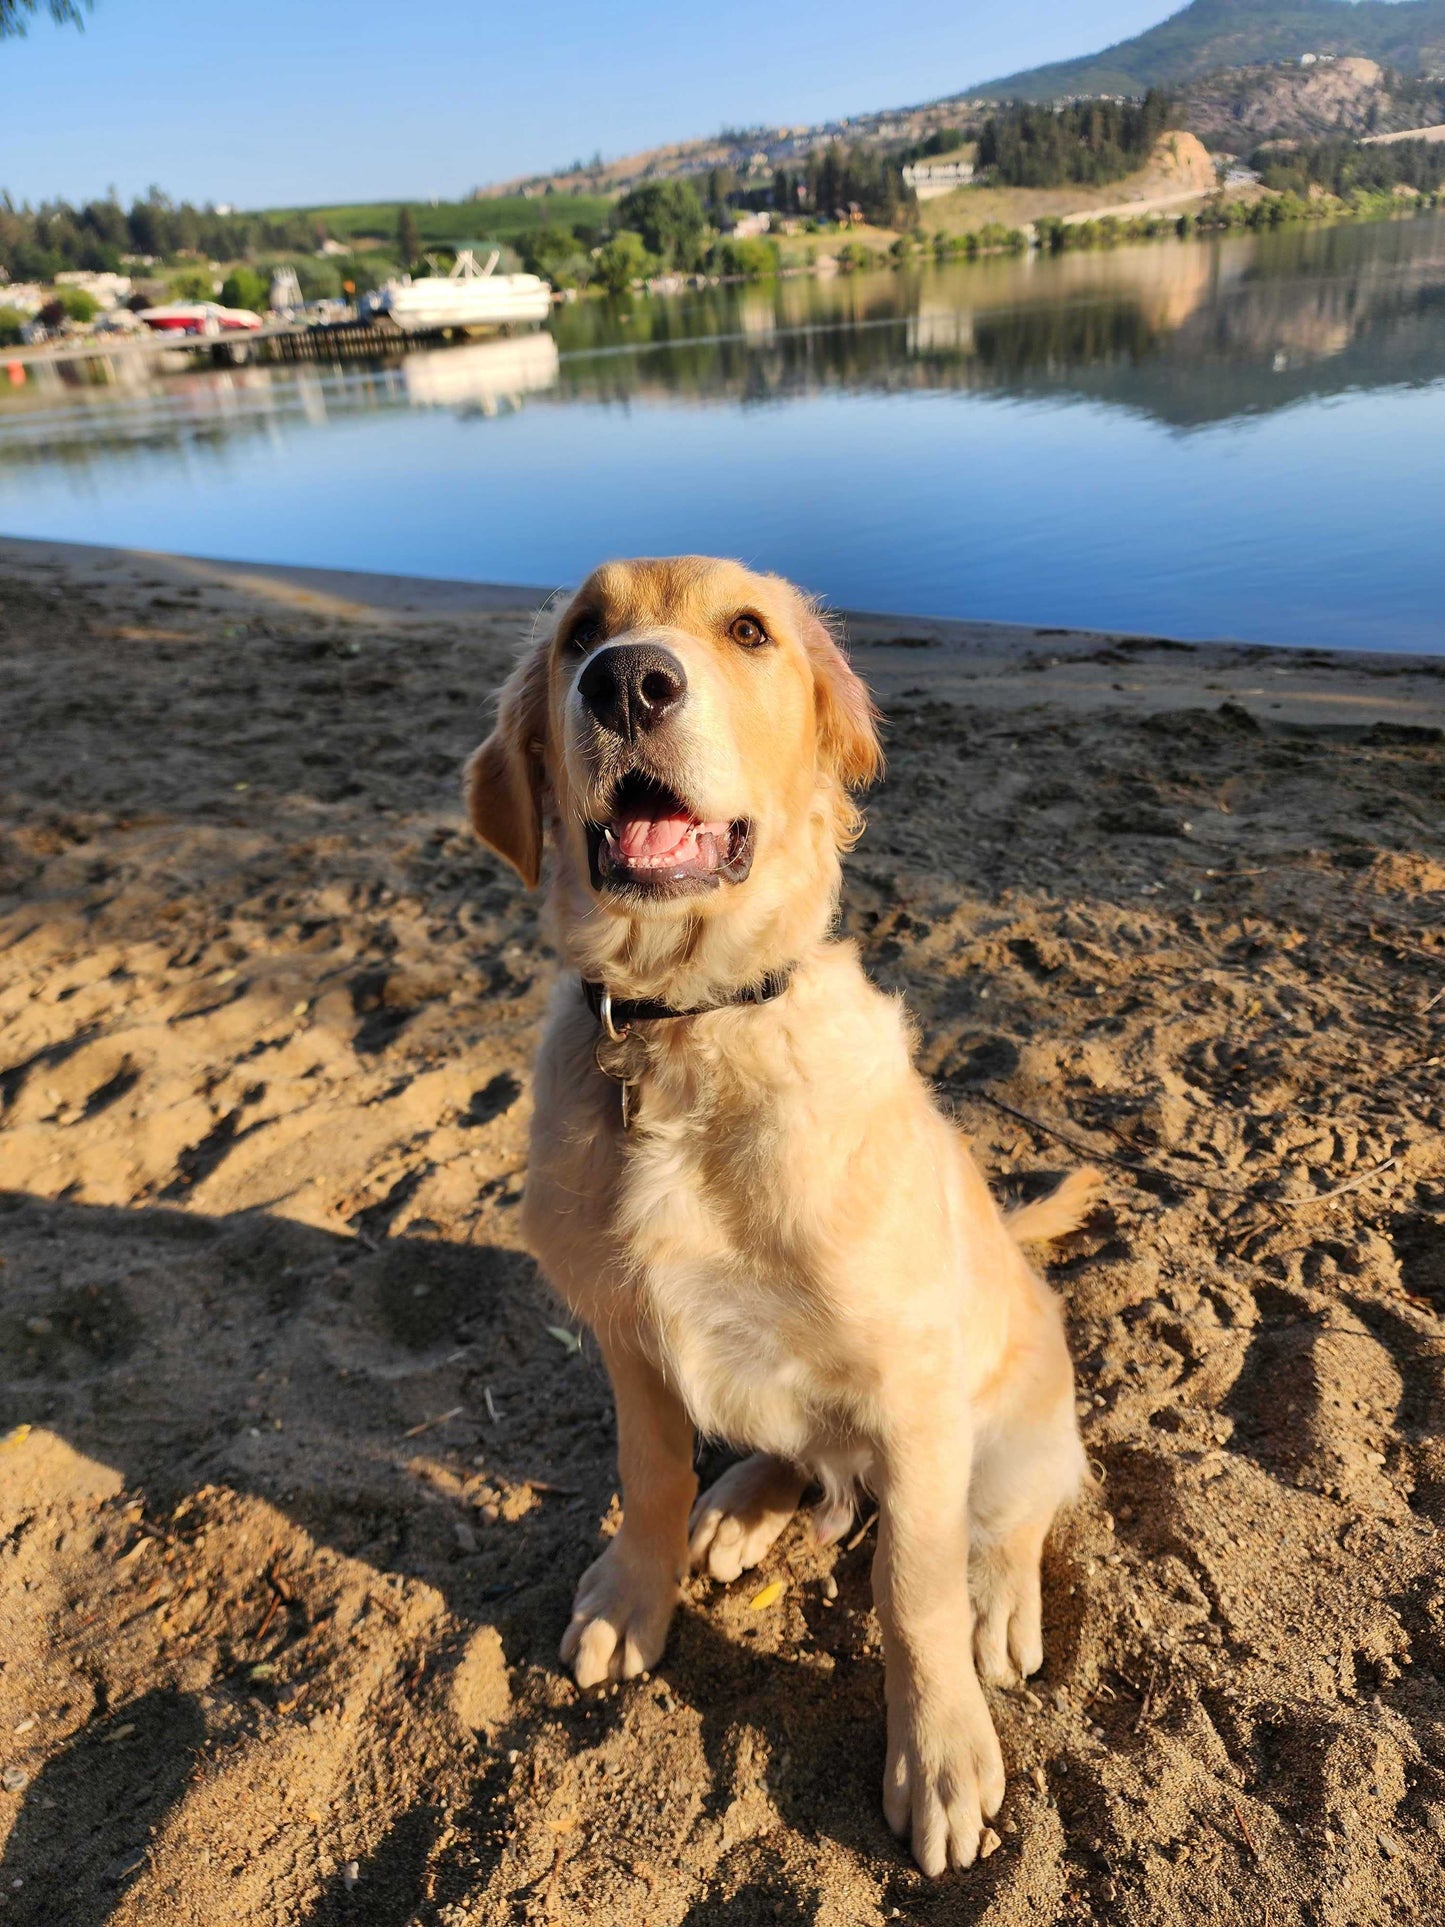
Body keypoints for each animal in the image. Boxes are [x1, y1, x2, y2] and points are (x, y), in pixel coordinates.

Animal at [464, 554, 1094, 1865]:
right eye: (579, 633)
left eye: (747, 631)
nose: (627, 683)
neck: (685, 1028)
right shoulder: (628, 1336)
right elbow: (648, 1472)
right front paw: (633, 1593)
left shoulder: (910, 1387)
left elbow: (911, 1587)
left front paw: (938, 1754)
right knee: (797, 1457)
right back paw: (740, 1507)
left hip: (1014, 1411)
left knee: (1010, 1512)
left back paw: (999, 1604)